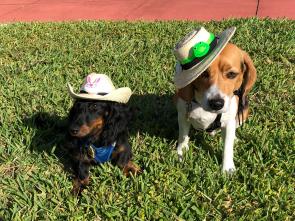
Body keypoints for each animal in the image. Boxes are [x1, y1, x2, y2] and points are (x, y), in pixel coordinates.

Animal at [176, 42, 256, 172]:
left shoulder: (229, 123)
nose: (216, 103)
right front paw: (181, 151)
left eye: (232, 74)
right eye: (203, 73)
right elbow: (183, 135)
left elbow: (227, 147)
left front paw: (228, 169)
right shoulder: (183, 116)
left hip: (244, 112)